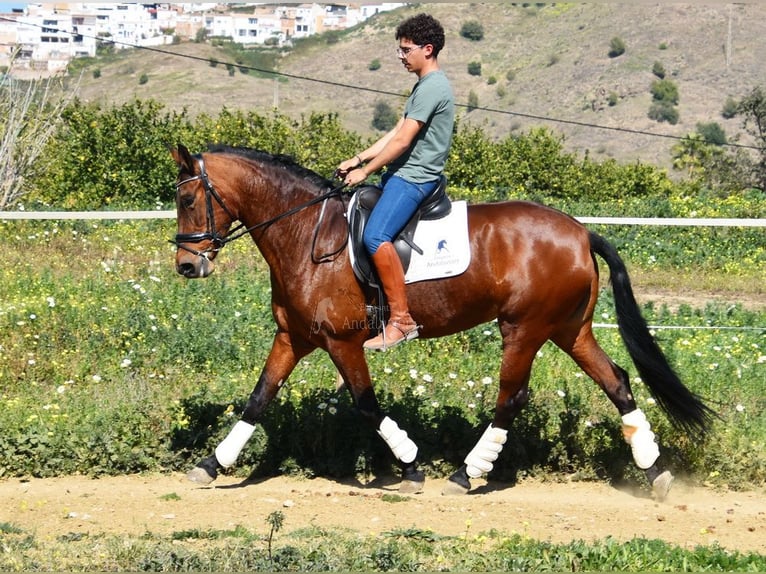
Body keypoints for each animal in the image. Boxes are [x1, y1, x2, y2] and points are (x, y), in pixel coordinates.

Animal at [171, 144, 716, 504]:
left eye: (188, 200)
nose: (186, 265)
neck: (306, 234)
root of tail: (581, 234)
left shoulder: (342, 342)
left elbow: (366, 405)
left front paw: (411, 464)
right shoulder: (294, 337)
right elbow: (258, 398)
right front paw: (210, 465)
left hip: (523, 328)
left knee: (511, 397)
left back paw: (466, 473)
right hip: (569, 329)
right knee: (617, 382)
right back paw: (655, 473)